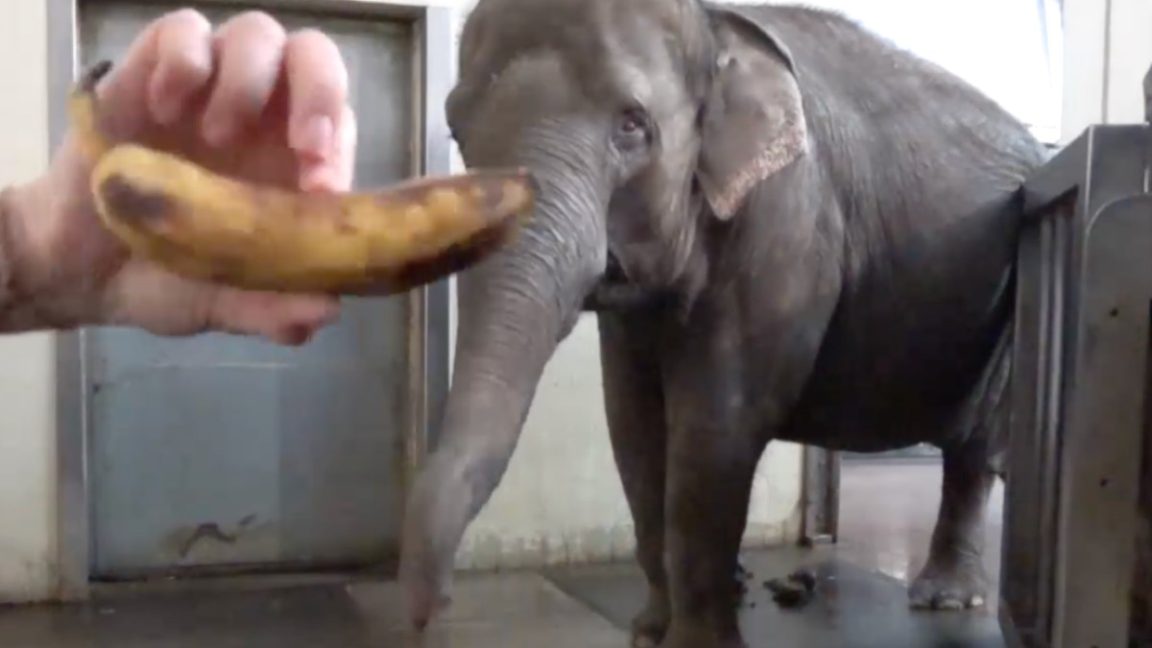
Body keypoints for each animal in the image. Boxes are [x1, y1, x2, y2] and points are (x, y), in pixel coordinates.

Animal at [400, 2, 1050, 641]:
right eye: (456, 128)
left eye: (631, 125)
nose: (432, 612)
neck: (713, 24)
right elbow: (633, 423)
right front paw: (649, 631)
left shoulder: (786, 223)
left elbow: (715, 426)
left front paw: (695, 641)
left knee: (975, 446)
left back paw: (945, 599)